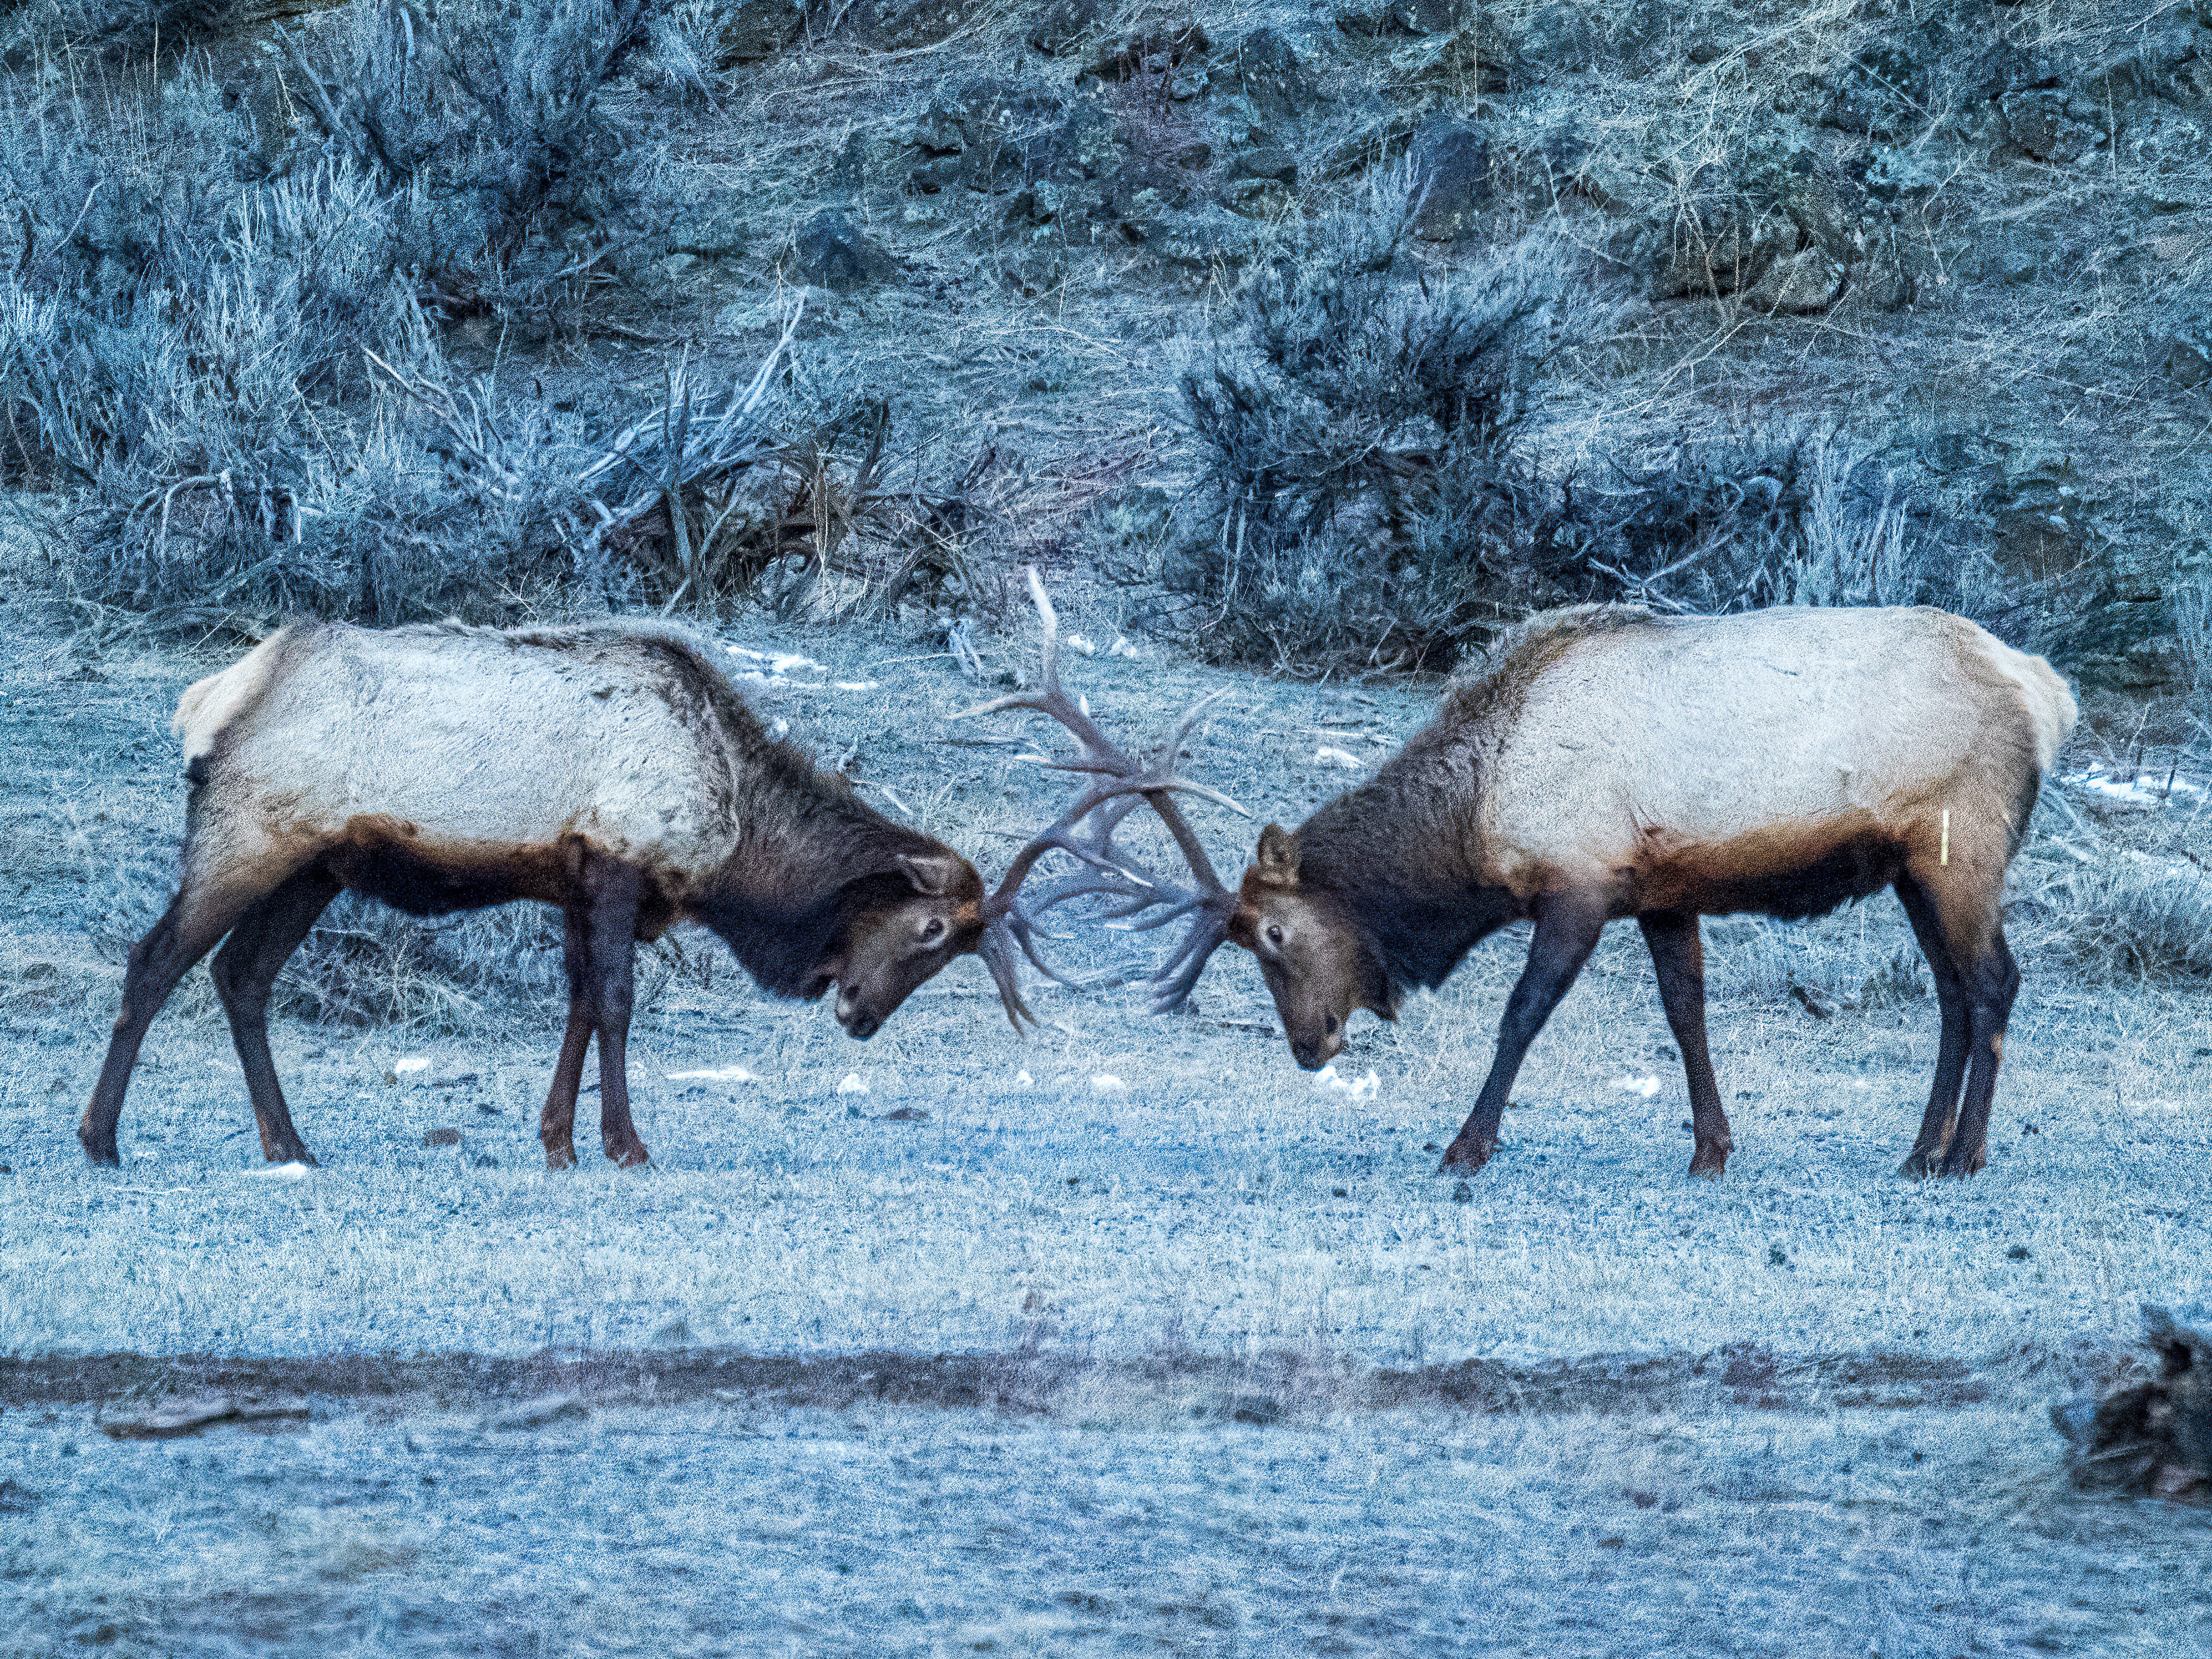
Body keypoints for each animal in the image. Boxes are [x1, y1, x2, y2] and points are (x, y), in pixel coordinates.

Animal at [79, 611, 1225, 1171]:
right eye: (933, 926)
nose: (857, 1014)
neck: (736, 833)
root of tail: (213, 697)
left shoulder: (576, 877)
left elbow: (582, 1005)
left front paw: (557, 1142)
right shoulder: (622, 859)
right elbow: (620, 1005)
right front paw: (627, 1146)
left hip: (317, 867)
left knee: (241, 978)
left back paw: (291, 1144)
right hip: (250, 835)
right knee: (155, 961)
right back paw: (100, 1139)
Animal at [1034, 603, 2078, 1182]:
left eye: (1273, 934)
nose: (1308, 1046)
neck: (1479, 814)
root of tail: (2047, 692)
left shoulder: (1580, 882)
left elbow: (1522, 1015)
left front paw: (1466, 1145)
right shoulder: (1662, 890)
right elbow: (1686, 1016)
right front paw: (1711, 1149)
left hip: (1962, 850)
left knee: (1995, 984)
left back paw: (1962, 1157)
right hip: (1916, 870)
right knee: (1953, 993)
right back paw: (1917, 1150)